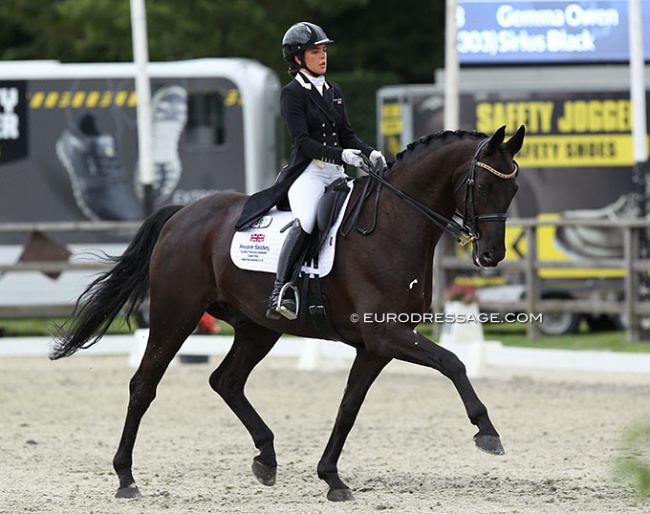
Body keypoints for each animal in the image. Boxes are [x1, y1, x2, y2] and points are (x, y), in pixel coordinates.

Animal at [52, 124, 528, 500]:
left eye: (514, 189)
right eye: (482, 187)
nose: (491, 255)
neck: (393, 224)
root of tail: (182, 214)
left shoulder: (376, 346)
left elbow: (348, 408)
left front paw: (332, 478)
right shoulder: (387, 335)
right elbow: (453, 362)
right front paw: (487, 432)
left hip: (257, 327)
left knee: (226, 381)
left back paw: (266, 457)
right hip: (177, 314)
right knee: (143, 386)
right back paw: (126, 478)